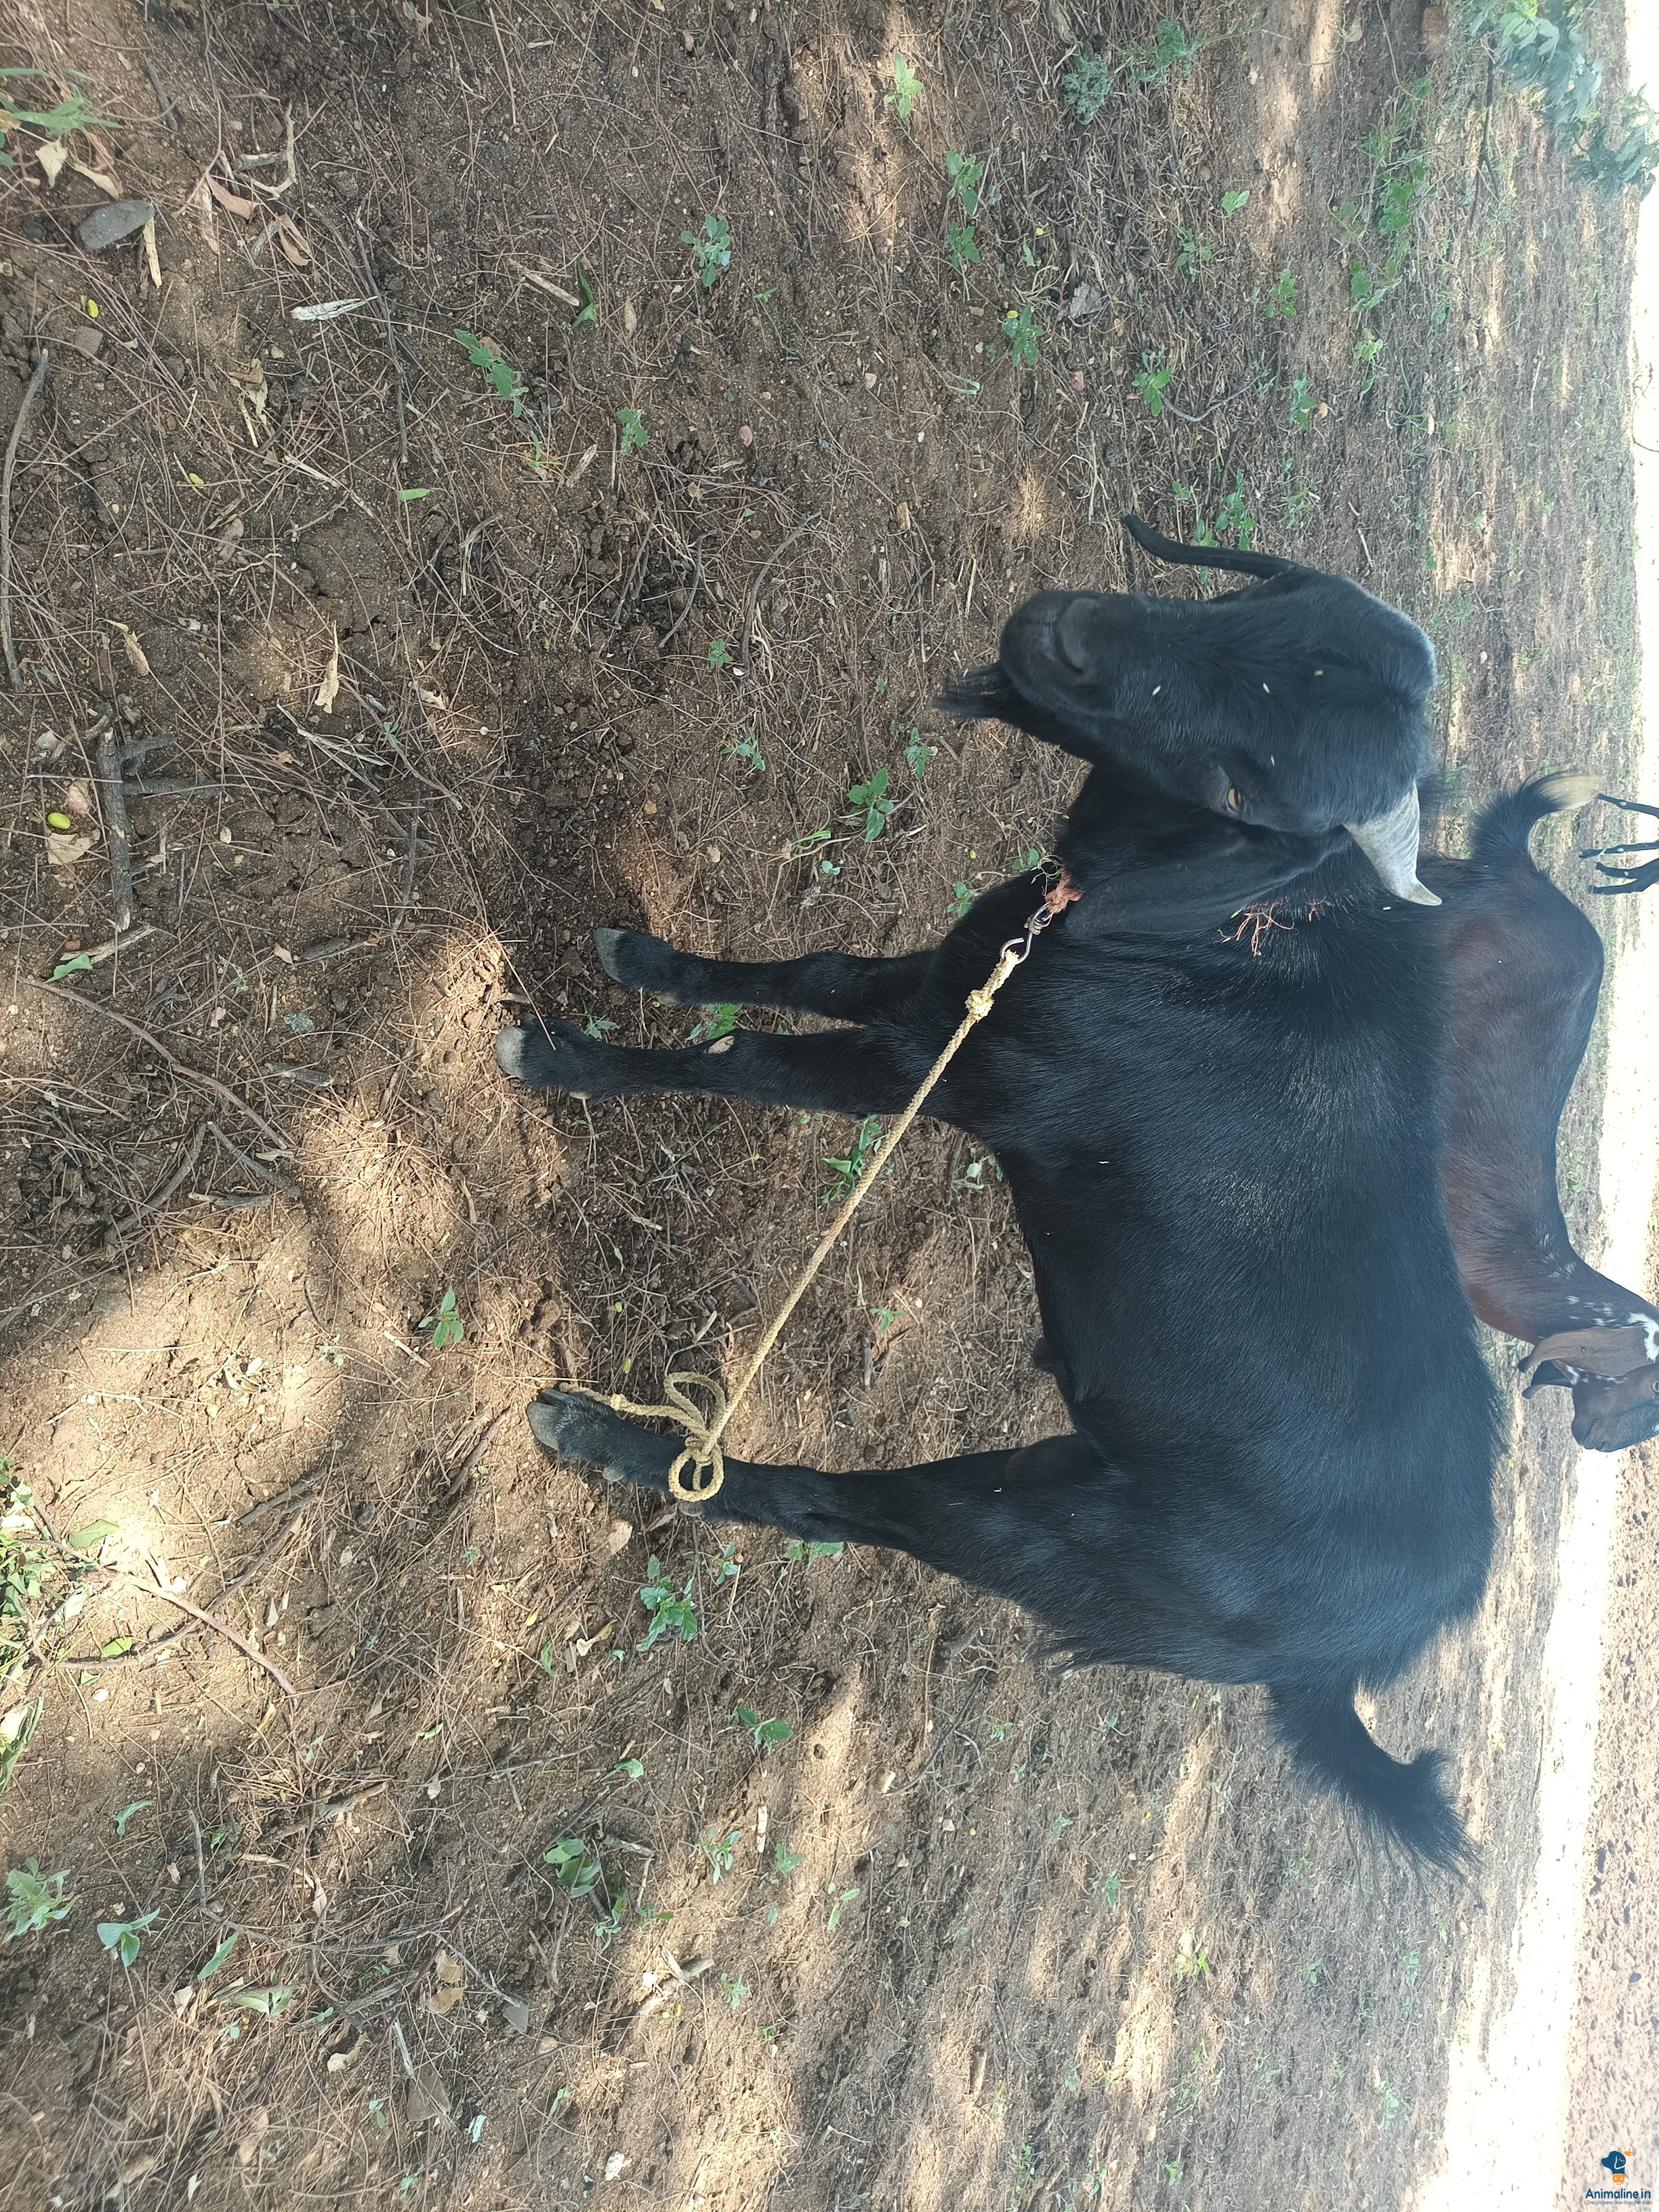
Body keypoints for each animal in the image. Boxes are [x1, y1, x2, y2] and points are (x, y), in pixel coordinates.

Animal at [499, 662, 1498, 1868]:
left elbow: (745, 1062)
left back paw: (609, 1441)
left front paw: (558, 1056)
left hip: (1053, 1545)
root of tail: (1357, 1659)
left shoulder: (937, 1064)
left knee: (836, 1509)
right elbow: (820, 967)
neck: (1220, 931)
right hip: (1061, 1476)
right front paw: (645, 959)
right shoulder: (955, 982)